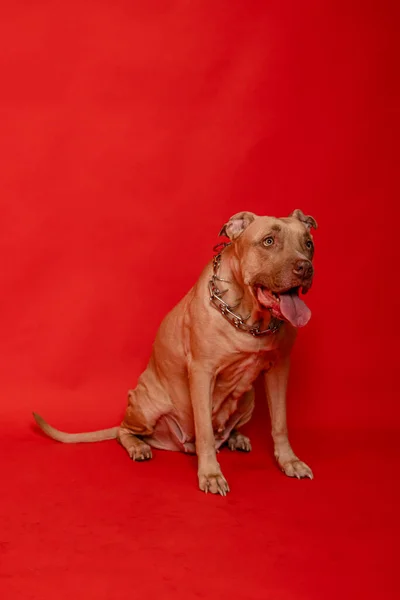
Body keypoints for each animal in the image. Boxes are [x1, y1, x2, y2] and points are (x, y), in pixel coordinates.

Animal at [34, 211, 318, 496]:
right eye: (268, 241)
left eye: (308, 244)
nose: (305, 268)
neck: (250, 318)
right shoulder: (202, 373)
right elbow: (204, 430)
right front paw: (211, 474)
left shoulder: (279, 368)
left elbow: (279, 422)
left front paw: (289, 462)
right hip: (145, 405)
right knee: (125, 431)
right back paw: (138, 446)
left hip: (248, 400)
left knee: (225, 429)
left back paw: (236, 438)